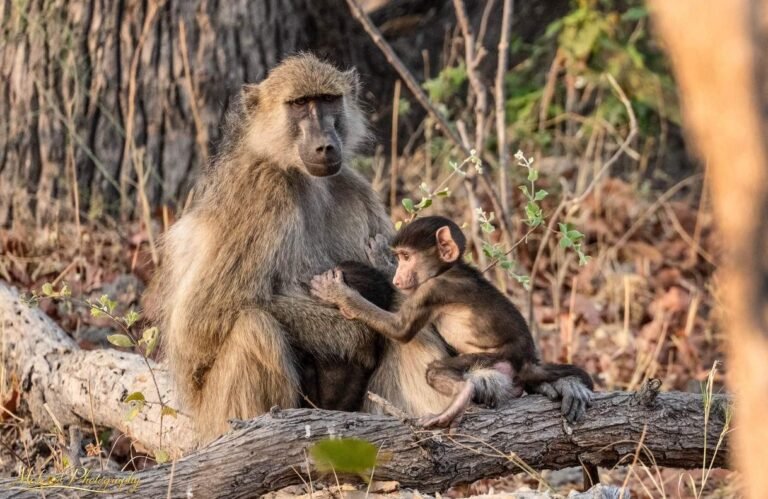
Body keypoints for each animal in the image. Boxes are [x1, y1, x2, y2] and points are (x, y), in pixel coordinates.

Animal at [310, 216, 594, 427]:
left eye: (407, 257)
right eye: (400, 257)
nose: (399, 275)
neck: (447, 269)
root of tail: (527, 359)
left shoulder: (434, 289)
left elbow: (401, 330)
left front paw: (340, 294)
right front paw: (381, 259)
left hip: (495, 358)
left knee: (439, 370)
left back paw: (462, 396)